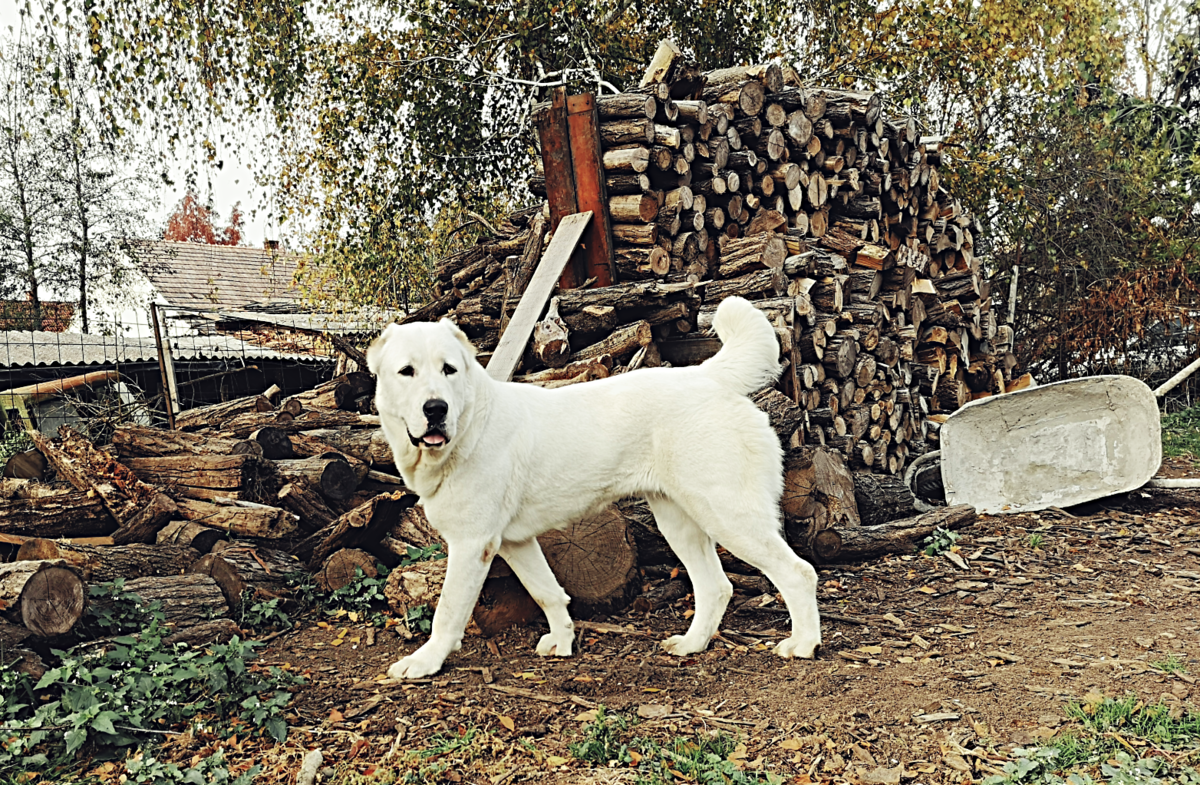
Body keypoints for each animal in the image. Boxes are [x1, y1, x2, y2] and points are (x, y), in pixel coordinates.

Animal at [367, 298, 825, 681]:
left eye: (449, 370)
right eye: (407, 372)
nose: (436, 409)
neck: (468, 427)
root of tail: (705, 375)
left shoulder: (471, 544)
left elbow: (447, 612)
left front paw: (424, 662)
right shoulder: (515, 542)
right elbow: (548, 593)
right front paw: (563, 641)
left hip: (729, 514)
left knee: (798, 572)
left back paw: (803, 645)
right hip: (678, 521)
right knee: (716, 586)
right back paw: (692, 644)